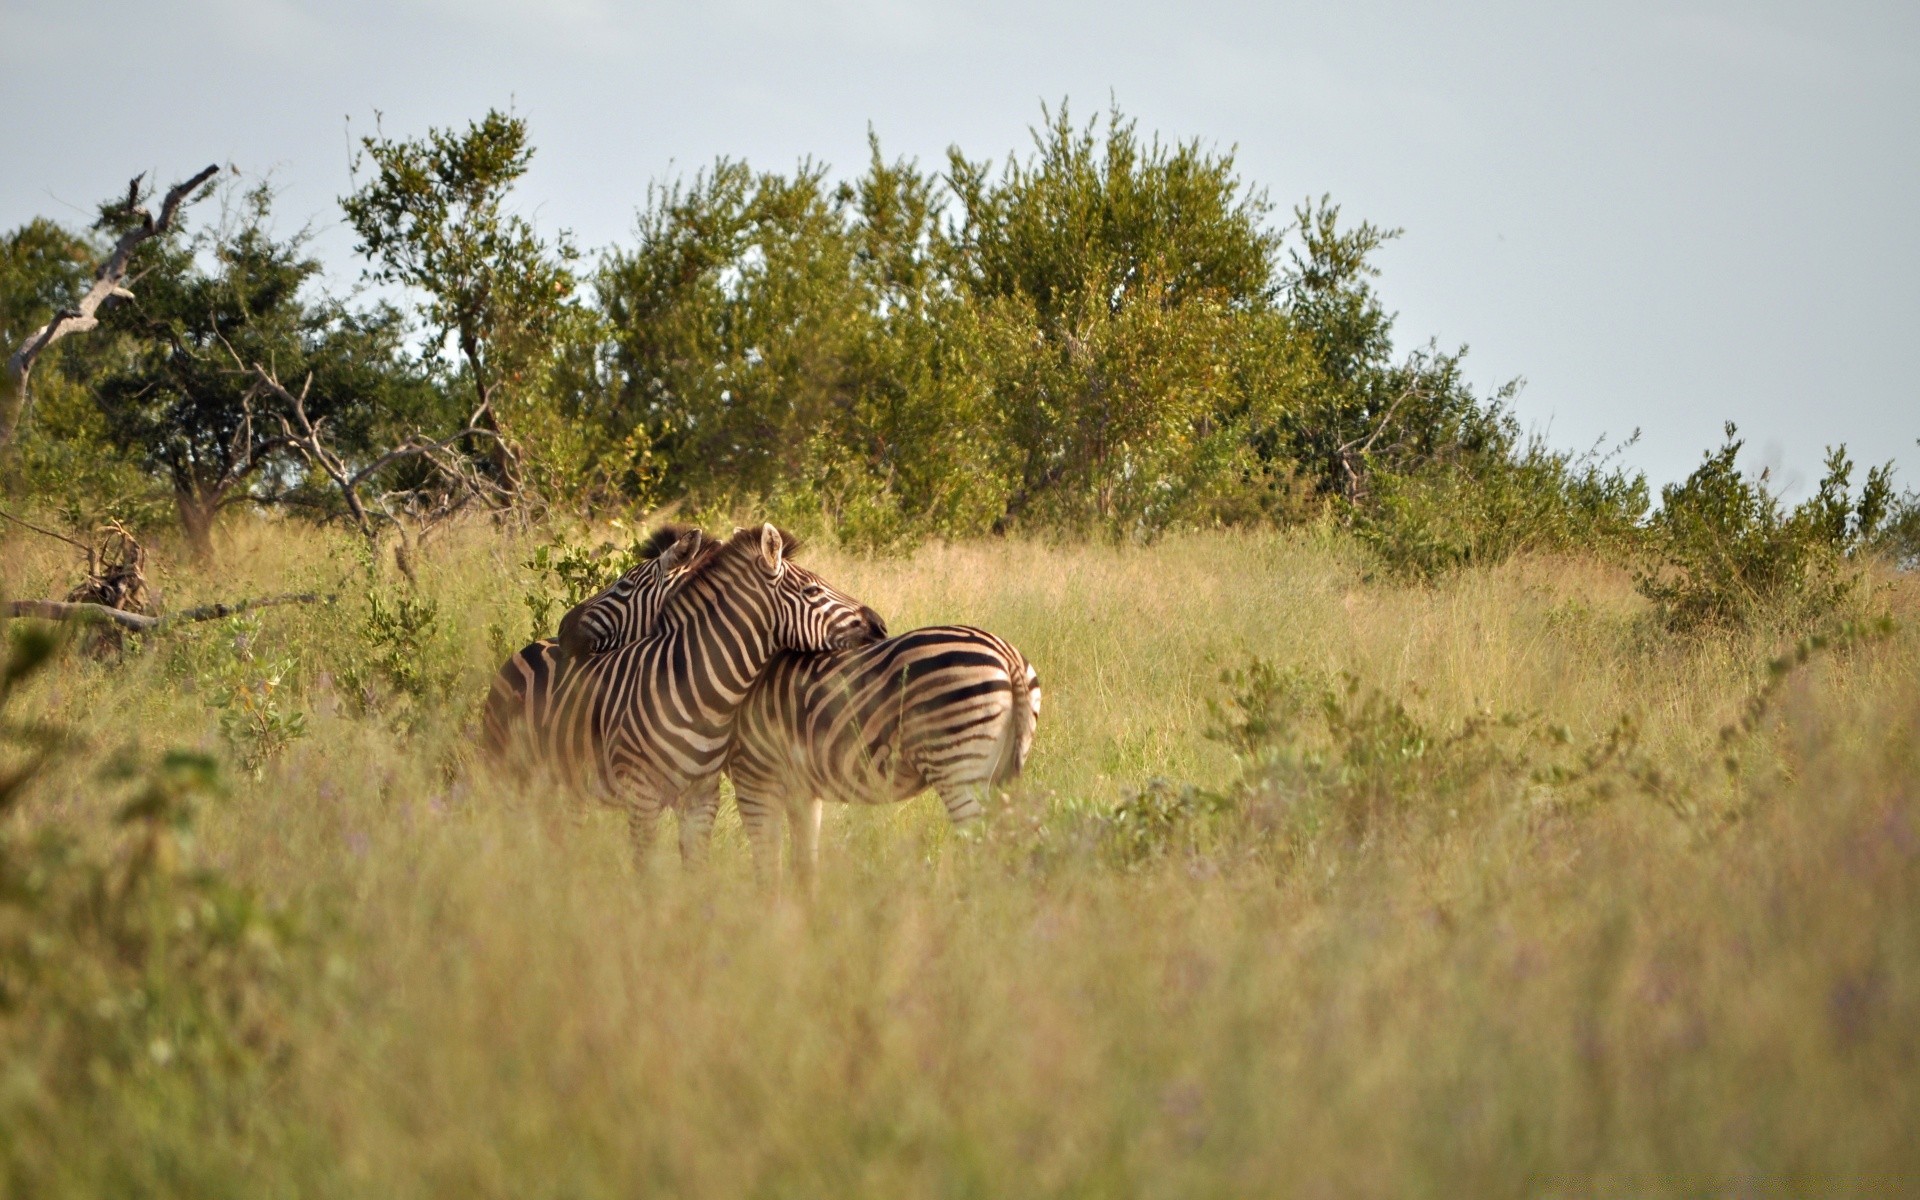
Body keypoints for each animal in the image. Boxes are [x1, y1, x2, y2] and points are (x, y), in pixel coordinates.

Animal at [487, 522, 890, 860]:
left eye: (623, 586)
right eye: (812, 590)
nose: (881, 625)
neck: (704, 696)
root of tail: (529, 646)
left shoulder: (704, 799)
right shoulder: (646, 796)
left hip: (564, 785)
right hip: (511, 772)